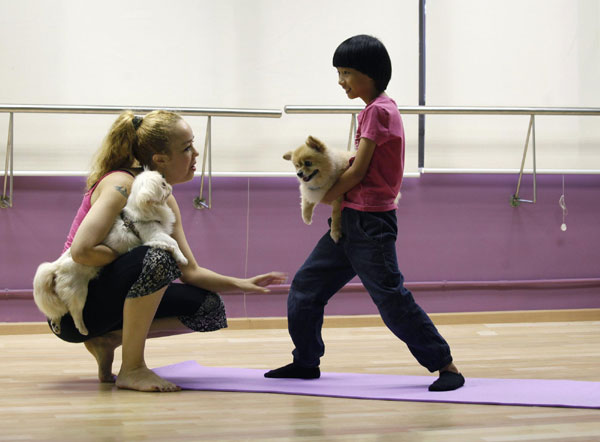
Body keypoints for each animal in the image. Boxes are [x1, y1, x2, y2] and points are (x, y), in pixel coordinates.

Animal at [33, 169, 188, 334]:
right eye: (163, 185)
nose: (169, 186)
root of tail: (55, 266)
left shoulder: (154, 237)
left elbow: (169, 243)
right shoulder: (154, 235)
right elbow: (173, 243)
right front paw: (182, 258)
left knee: (57, 312)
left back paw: (56, 325)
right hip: (78, 292)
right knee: (74, 312)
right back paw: (83, 329)